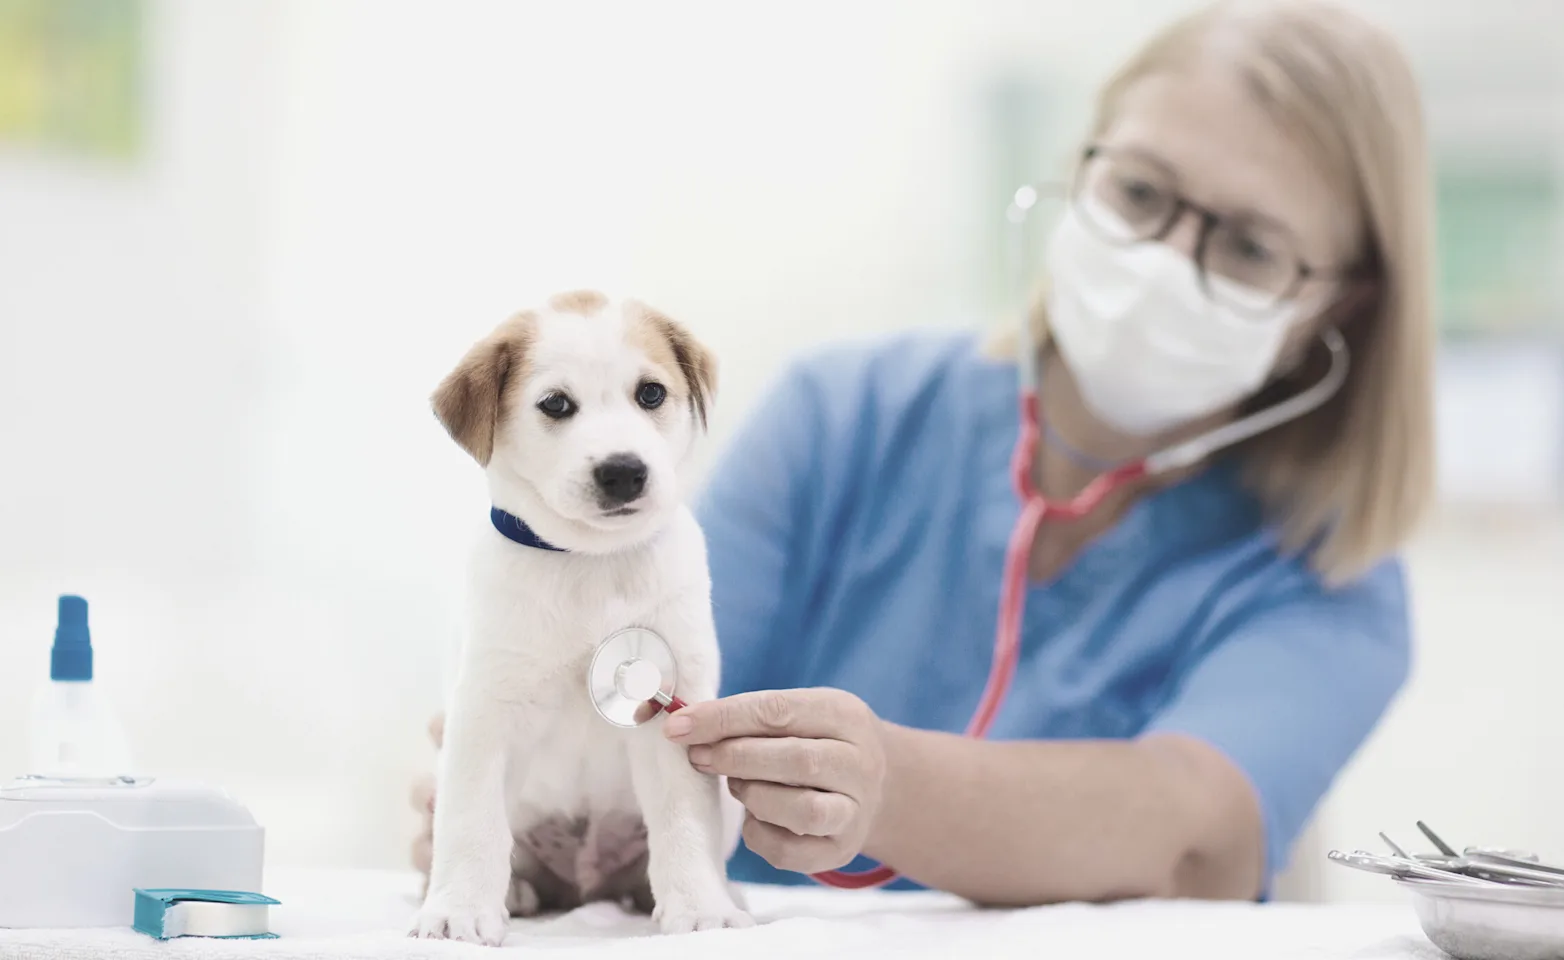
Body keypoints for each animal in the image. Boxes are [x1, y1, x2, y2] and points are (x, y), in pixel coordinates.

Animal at [412, 293, 753, 950]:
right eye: (555, 404)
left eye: (651, 393)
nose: (623, 471)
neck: (592, 562)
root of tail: (587, 886)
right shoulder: (484, 712)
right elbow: (471, 822)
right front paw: (459, 911)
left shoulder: (676, 714)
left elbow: (683, 818)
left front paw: (701, 909)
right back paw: (514, 894)